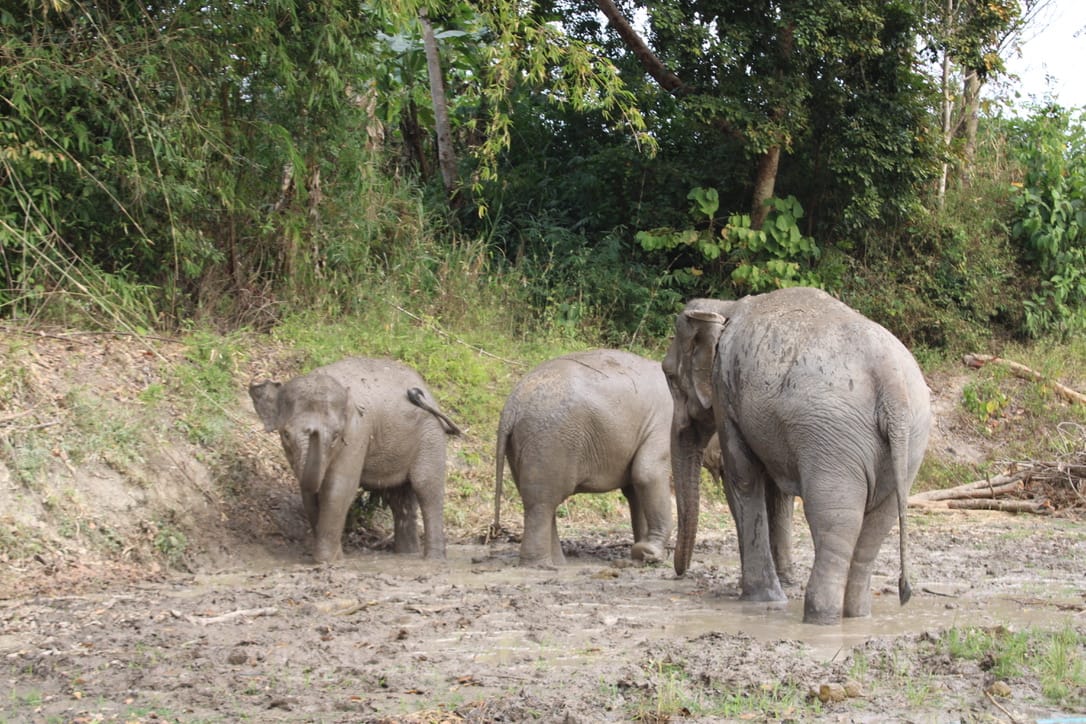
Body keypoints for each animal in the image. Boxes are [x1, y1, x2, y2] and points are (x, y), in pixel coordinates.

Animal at [248, 360, 458, 564]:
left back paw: (433, 559)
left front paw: (326, 561)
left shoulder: (357, 433)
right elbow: (310, 495)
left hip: (431, 435)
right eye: (286, 435)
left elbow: (339, 489)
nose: (313, 430)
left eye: (335, 436)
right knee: (399, 496)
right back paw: (407, 554)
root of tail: (427, 391)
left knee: (426, 487)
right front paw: (336, 557)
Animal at [495, 349, 677, 564]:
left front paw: (641, 552)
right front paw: (653, 555)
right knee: (542, 503)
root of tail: (511, 405)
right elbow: (647, 474)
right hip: (550, 441)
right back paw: (541, 565)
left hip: (523, 446)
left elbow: (635, 488)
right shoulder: (665, 424)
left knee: (540, 500)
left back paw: (558, 563)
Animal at [660, 286, 933, 625]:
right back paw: (856, 616)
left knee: (834, 519)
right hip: (909, 443)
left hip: (832, 440)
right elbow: (775, 490)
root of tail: (891, 382)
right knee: (878, 523)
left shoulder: (726, 391)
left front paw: (760, 598)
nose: (678, 573)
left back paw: (820, 617)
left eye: (669, 376)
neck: (724, 306)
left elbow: (743, 479)